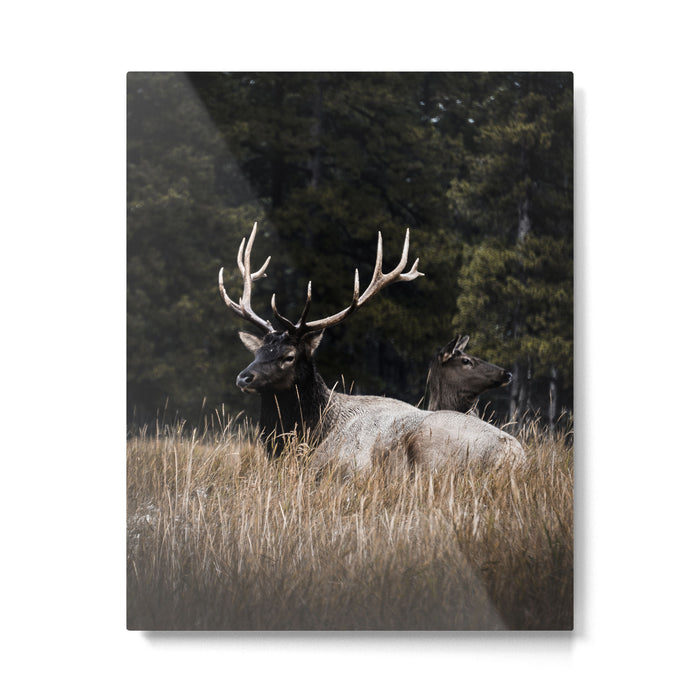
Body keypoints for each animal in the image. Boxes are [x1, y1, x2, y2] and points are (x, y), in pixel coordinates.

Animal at [219, 223, 526, 474]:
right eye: (257, 352)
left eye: (289, 356)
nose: (244, 377)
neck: (313, 432)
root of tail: (514, 456)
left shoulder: (351, 467)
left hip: (431, 448)